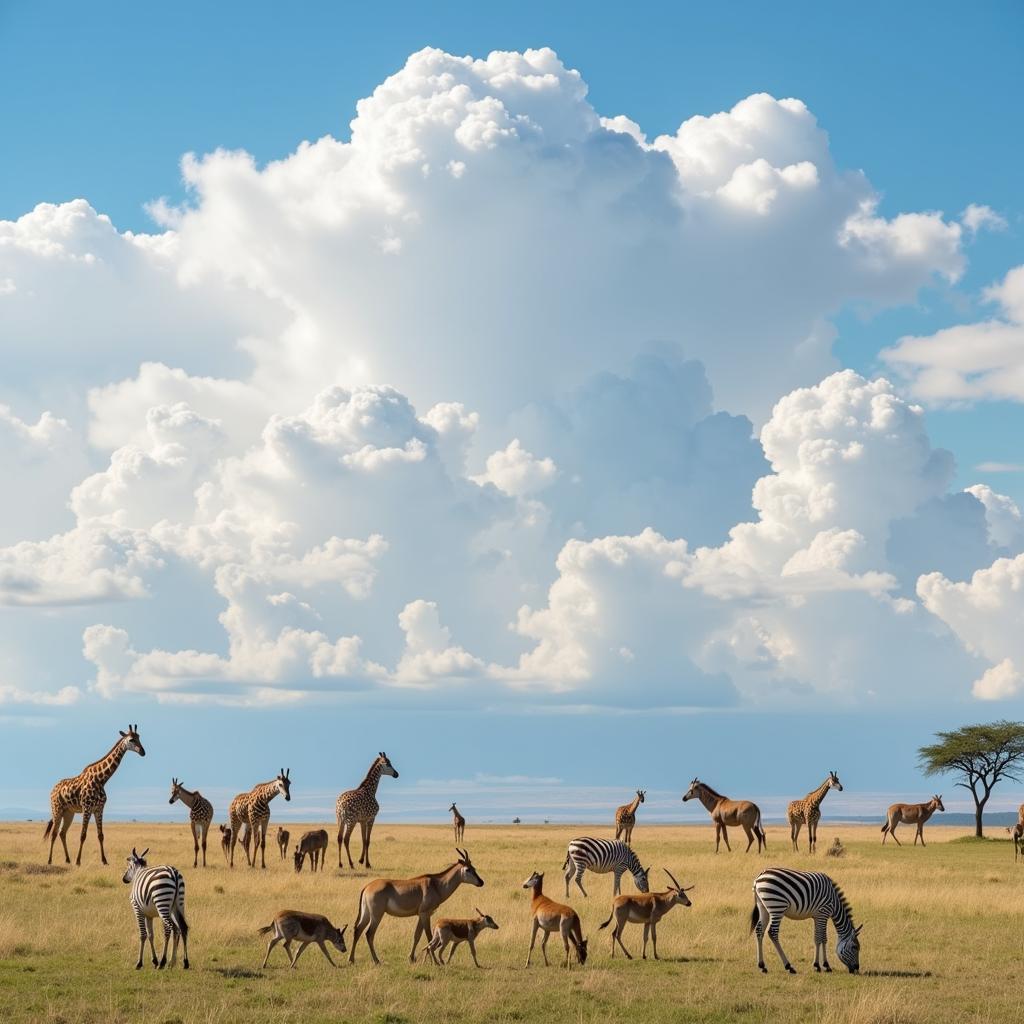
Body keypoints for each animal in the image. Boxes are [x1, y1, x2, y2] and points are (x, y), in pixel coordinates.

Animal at [44, 720, 146, 864]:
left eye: (139, 737)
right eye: (132, 739)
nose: (143, 752)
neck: (101, 779)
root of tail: (53, 789)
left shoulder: (99, 809)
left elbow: (100, 835)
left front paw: (104, 861)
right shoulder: (87, 808)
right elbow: (83, 835)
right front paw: (78, 861)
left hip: (69, 812)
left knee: (62, 833)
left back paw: (68, 860)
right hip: (56, 809)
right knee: (54, 833)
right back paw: (50, 860)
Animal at [348, 843, 483, 962]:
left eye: (474, 868)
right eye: (467, 869)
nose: (481, 882)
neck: (435, 884)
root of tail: (367, 887)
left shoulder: (420, 915)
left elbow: (417, 936)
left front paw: (411, 958)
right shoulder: (425, 914)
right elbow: (429, 937)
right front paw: (434, 961)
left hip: (366, 914)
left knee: (358, 930)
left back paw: (351, 959)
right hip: (377, 915)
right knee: (369, 934)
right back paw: (376, 960)